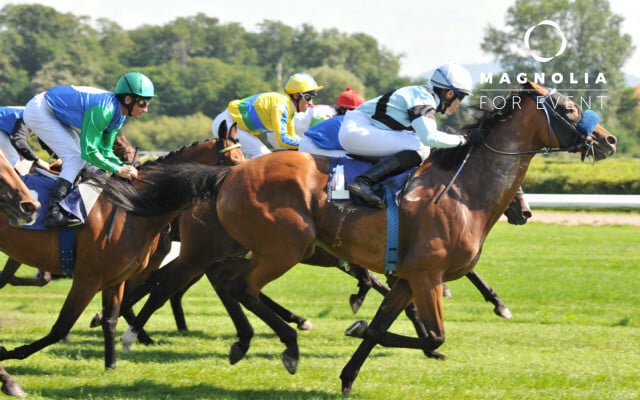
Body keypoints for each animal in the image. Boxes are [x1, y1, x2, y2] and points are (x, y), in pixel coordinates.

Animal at [102, 82, 616, 394]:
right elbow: (430, 333)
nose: (608, 141)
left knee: (221, 282)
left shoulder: (408, 278)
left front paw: (350, 369)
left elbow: (390, 322)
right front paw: (360, 325)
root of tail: (228, 173)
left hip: (244, 247)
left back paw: (241, 340)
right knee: (226, 285)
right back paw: (279, 342)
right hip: (281, 245)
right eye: (569, 108)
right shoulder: (427, 275)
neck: (464, 190)